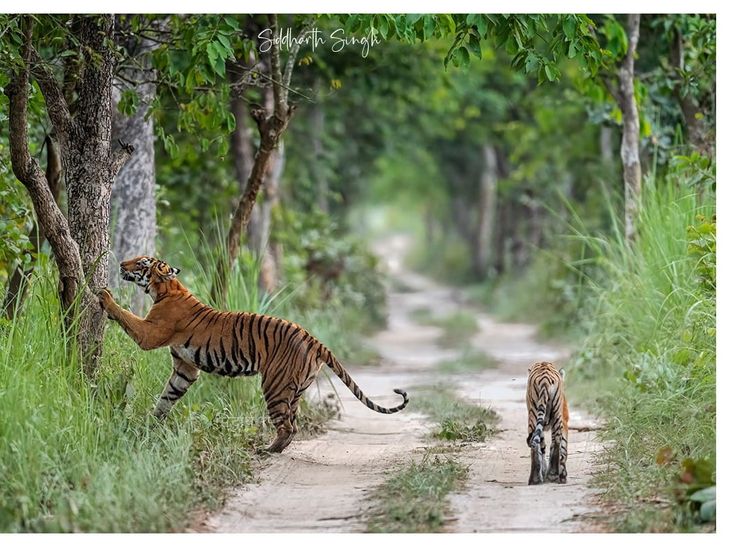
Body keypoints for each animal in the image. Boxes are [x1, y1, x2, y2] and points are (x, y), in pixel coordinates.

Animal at [97, 256, 409, 453]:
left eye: (141, 262)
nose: (121, 264)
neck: (165, 289)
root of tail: (313, 338)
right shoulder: (185, 367)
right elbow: (167, 397)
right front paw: (151, 423)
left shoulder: (150, 334)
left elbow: (126, 315)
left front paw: (104, 295)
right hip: (296, 389)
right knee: (293, 423)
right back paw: (274, 449)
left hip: (275, 385)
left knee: (287, 426)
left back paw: (267, 450)